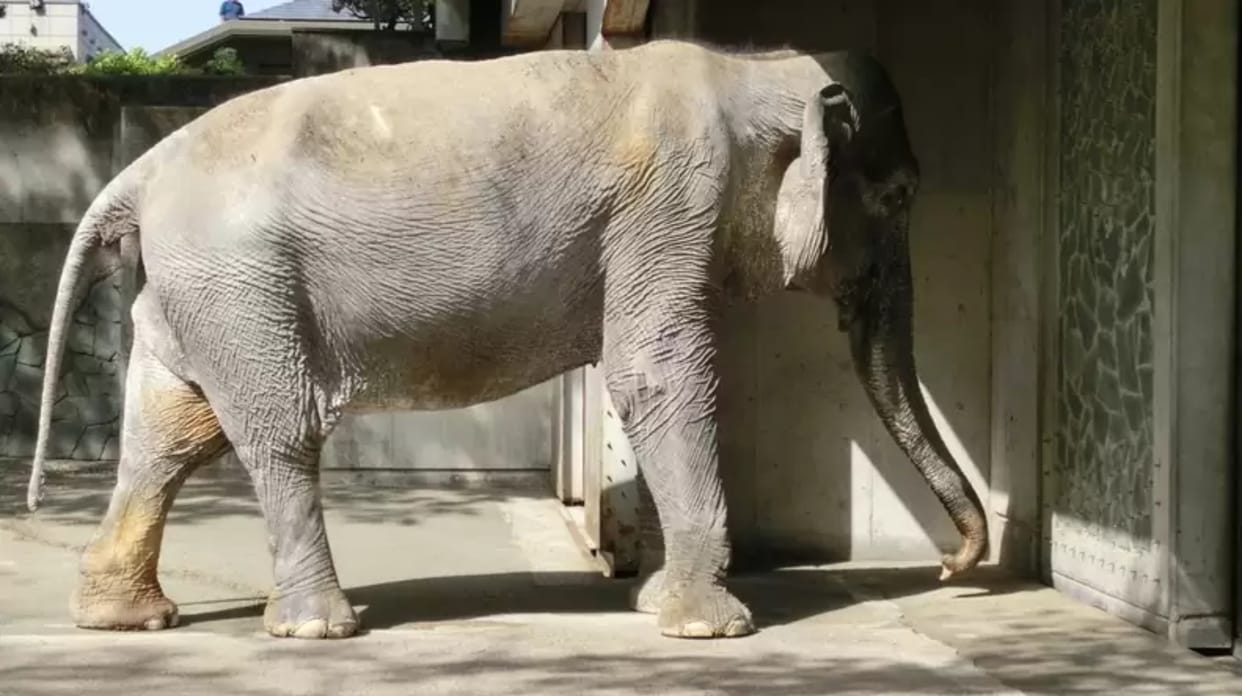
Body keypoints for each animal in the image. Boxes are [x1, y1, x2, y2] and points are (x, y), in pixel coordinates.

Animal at [25, 39, 987, 641]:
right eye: (899, 195)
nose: (954, 567)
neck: (759, 69)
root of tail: (139, 172)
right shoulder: (670, 200)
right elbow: (656, 374)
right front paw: (709, 630)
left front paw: (654, 607)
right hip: (241, 285)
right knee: (277, 432)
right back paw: (319, 628)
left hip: (196, 292)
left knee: (167, 433)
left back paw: (130, 620)